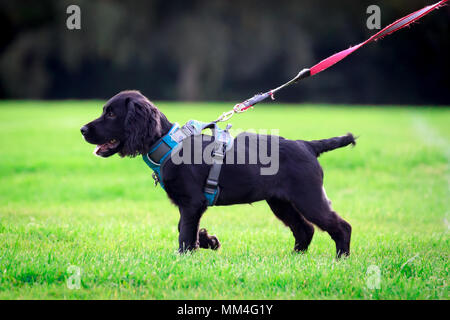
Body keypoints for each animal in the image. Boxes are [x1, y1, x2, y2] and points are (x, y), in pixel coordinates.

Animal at [81, 90, 356, 258]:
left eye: (111, 113)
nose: (82, 130)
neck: (169, 145)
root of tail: (307, 145)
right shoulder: (190, 205)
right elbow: (186, 228)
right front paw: (207, 240)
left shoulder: (192, 202)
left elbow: (184, 232)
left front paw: (184, 255)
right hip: (281, 202)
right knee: (304, 229)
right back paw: (293, 258)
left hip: (308, 197)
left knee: (341, 226)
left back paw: (340, 259)